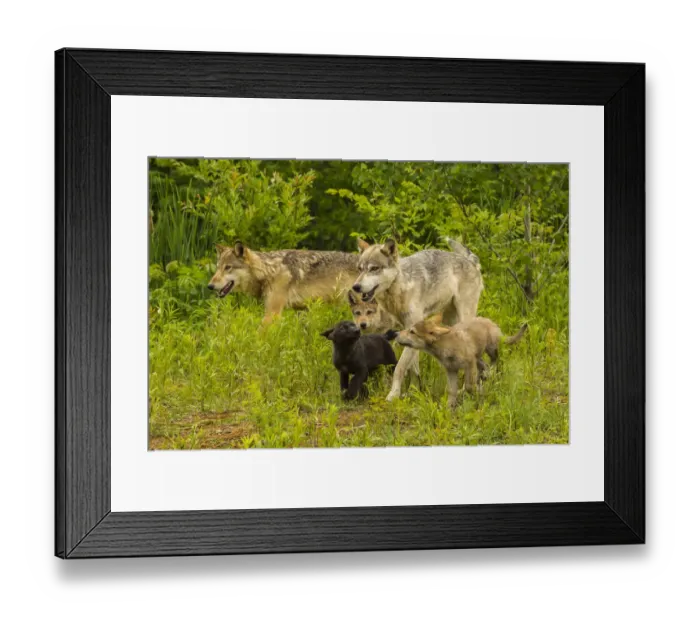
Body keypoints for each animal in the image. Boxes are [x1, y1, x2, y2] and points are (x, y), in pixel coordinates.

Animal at [208, 242, 359, 325]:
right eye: (218, 268)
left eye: (228, 267)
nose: (209, 286)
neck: (269, 271)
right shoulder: (301, 310)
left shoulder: (272, 313)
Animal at [352, 238, 484, 400]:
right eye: (360, 269)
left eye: (374, 268)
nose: (355, 287)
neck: (400, 287)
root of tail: (471, 261)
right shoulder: (408, 334)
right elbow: (413, 369)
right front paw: (414, 392)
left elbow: (399, 368)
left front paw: (393, 395)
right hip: (451, 323)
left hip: (464, 317)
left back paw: (467, 390)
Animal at [396, 314, 527, 409]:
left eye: (412, 332)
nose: (395, 334)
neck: (445, 346)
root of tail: (492, 323)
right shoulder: (451, 370)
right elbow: (452, 390)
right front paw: (449, 408)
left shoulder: (469, 364)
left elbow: (469, 386)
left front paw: (475, 395)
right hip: (477, 357)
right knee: (484, 366)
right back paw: (485, 376)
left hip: (490, 349)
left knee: (495, 361)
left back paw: (488, 375)